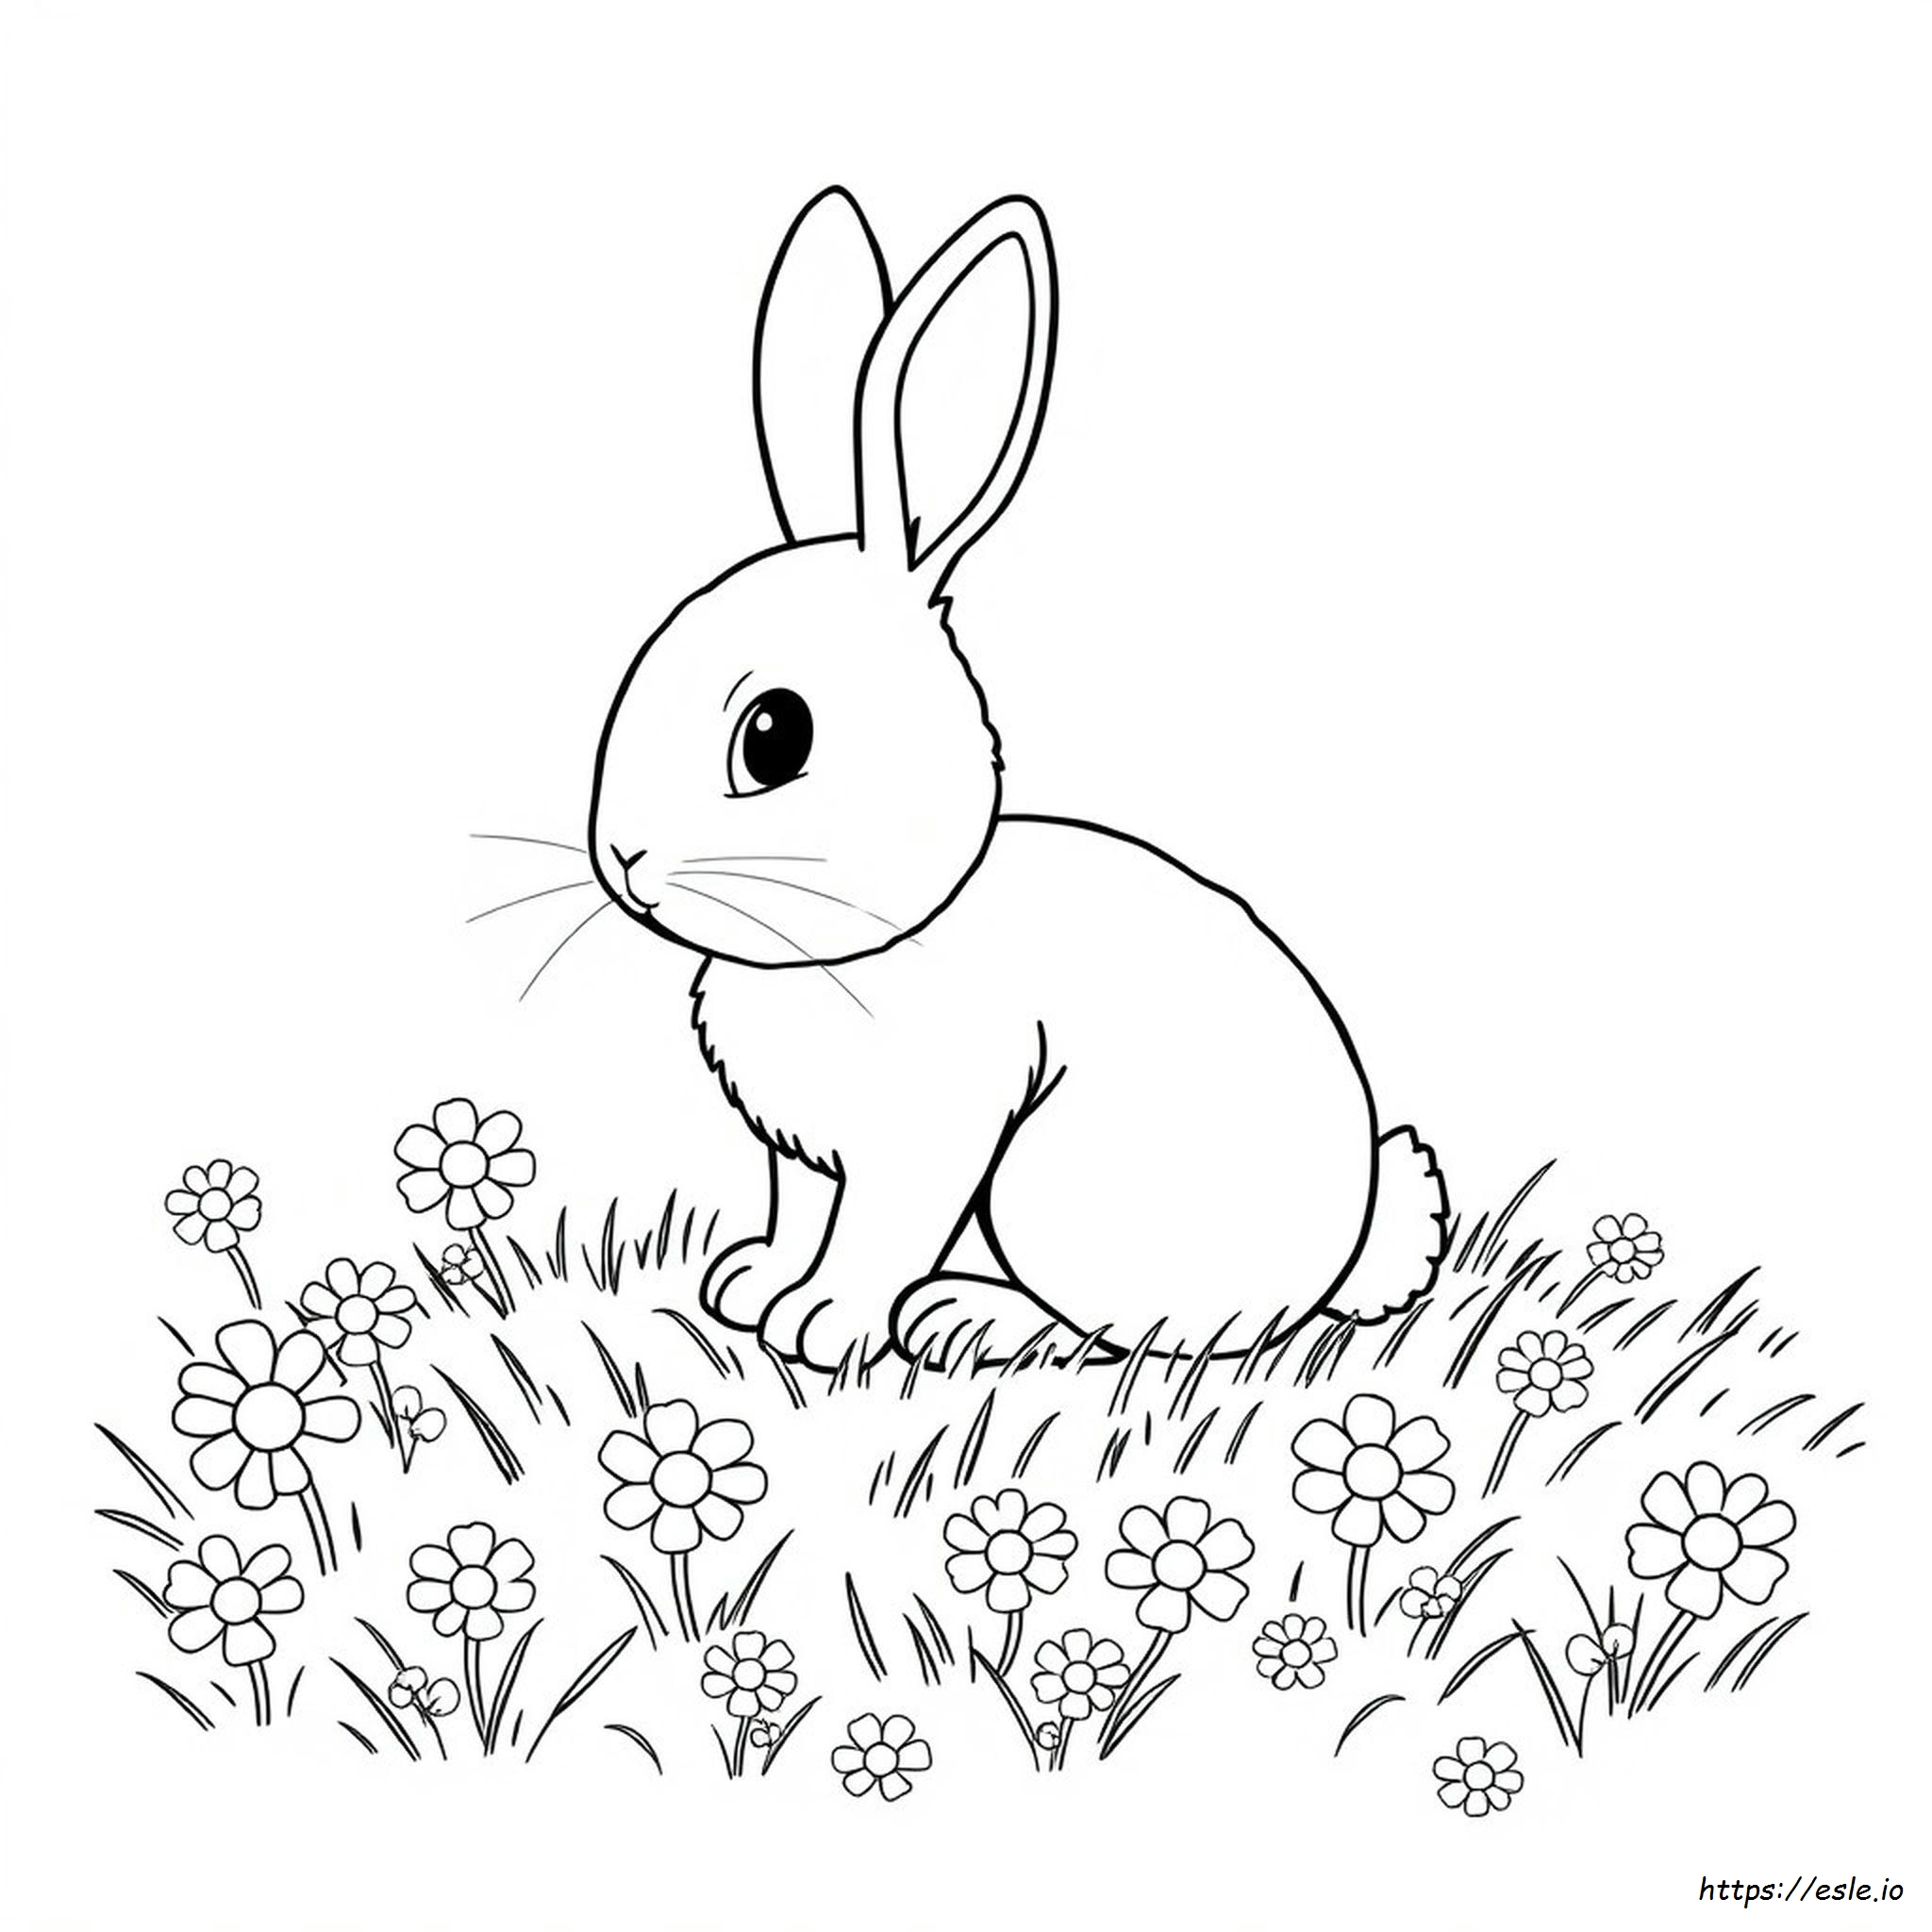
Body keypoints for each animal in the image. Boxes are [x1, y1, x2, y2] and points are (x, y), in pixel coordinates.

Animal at [588, 187, 1449, 1372]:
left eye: (773, 736)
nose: (621, 860)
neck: (862, 945)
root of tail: (1347, 1242)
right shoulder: (800, 1155)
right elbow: (799, 1216)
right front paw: (750, 1286)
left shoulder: (929, 1136)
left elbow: (877, 1234)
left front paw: (821, 1322)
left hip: (1055, 1191)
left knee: (1137, 1332)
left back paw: (965, 1317)